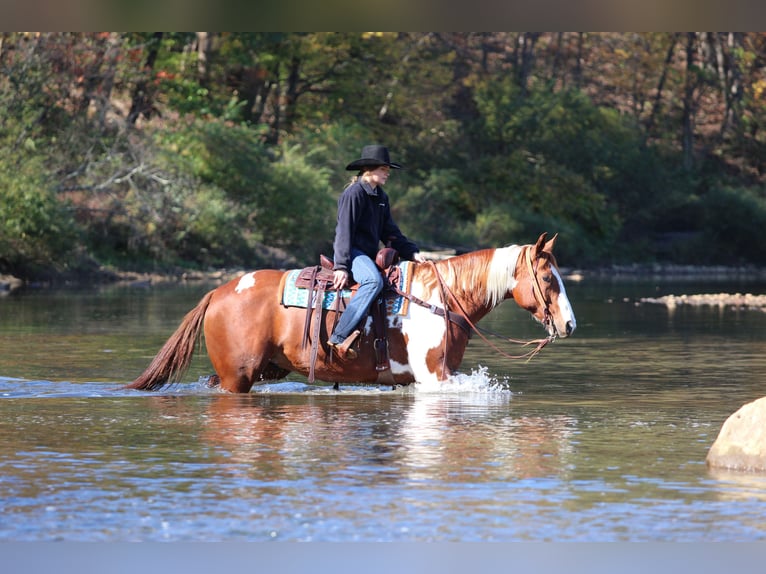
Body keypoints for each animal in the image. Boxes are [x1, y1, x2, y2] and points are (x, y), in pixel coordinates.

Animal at [126, 232, 576, 393]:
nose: (569, 324)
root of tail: (218, 292)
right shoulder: (435, 375)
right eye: (547, 278)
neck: (441, 299)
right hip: (239, 377)